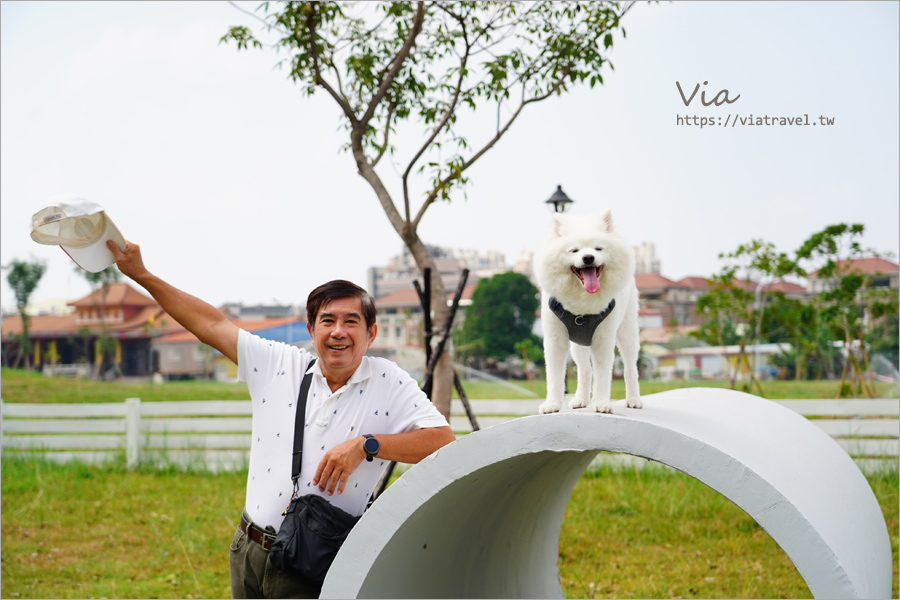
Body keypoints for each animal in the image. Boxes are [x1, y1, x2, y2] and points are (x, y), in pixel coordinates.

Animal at [536, 210, 640, 412]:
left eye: (598, 249)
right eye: (574, 250)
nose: (588, 258)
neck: (582, 306)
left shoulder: (603, 340)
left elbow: (603, 376)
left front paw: (601, 403)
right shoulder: (555, 340)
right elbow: (554, 377)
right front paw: (552, 403)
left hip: (627, 334)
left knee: (630, 368)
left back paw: (633, 399)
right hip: (579, 345)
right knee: (585, 369)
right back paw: (581, 399)